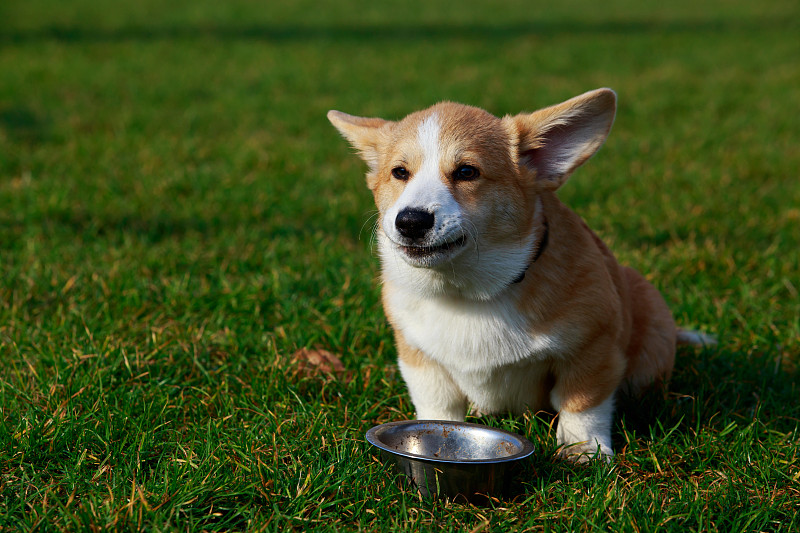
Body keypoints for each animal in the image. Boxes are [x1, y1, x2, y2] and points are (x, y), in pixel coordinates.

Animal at [324, 89, 712, 460]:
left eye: (467, 172)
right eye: (400, 173)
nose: (410, 221)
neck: (467, 294)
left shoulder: (593, 348)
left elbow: (582, 403)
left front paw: (583, 450)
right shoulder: (419, 357)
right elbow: (438, 406)